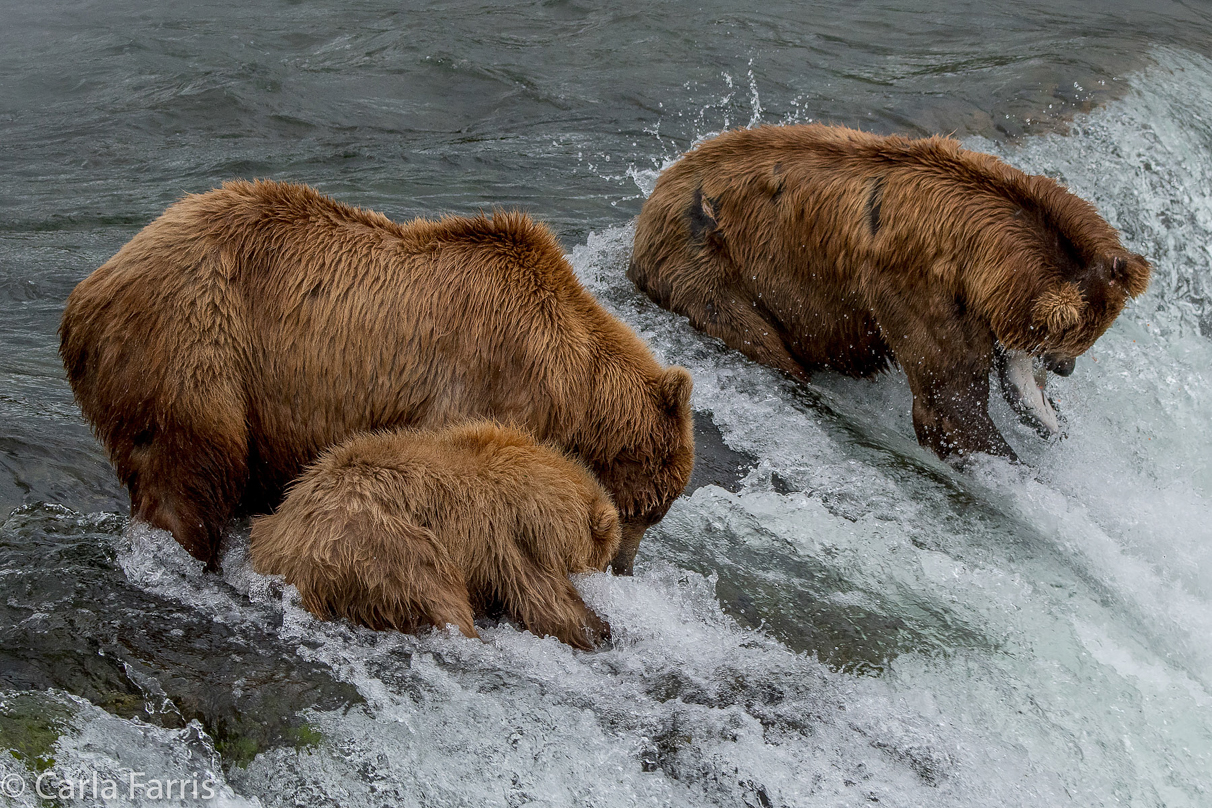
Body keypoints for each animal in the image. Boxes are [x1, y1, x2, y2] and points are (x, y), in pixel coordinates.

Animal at [61, 182, 698, 574]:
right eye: (655, 507)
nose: (624, 566)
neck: (572, 383)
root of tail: (87, 293)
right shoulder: (487, 379)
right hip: (198, 345)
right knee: (191, 473)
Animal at [249, 423, 620, 649]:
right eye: (603, 559)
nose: (608, 568)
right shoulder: (516, 536)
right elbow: (548, 603)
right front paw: (599, 629)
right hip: (378, 544)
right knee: (438, 590)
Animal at [630, 123, 1148, 457]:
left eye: (1091, 338)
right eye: (1067, 339)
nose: (1065, 369)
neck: (977, 258)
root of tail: (655, 194)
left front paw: (1047, 419)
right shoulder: (914, 287)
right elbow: (950, 400)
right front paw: (1000, 454)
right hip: (710, 268)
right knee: (757, 339)